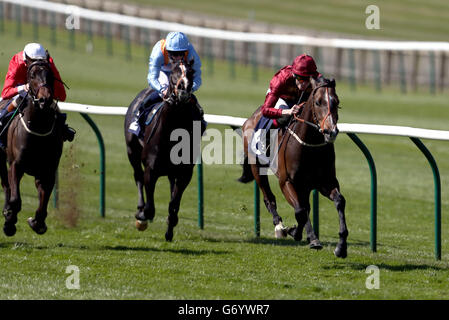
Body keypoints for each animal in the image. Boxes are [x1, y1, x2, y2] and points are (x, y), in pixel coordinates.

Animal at [0, 60, 65, 236]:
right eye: (32, 75)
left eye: (51, 75)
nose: (45, 99)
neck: (38, 128)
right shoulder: (16, 165)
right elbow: (15, 199)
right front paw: (9, 222)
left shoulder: (48, 171)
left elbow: (43, 203)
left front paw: (37, 223)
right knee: (7, 186)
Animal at [122, 59, 201, 240]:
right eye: (174, 73)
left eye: (191, 72)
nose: (183, 90)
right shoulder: (151, 170)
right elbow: (150, 207)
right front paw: (142, 217)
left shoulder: (184, 174)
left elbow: (173, 205)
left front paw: (170, 230)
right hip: (132, 151)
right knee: (137, 176)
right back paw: (140, 209)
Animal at [238, 76, 346, 258]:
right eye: (318, 102)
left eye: (336, 101)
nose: (330, 132)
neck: (309, 145)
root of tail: (251, 118)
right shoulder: (286, 182)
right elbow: (300, 210)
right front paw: (311, 239)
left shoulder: (325, 182)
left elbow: (339, 201)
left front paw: (341, 247)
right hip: (257, 167)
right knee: (269, 198)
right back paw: (279, 227)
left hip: (305, 186)